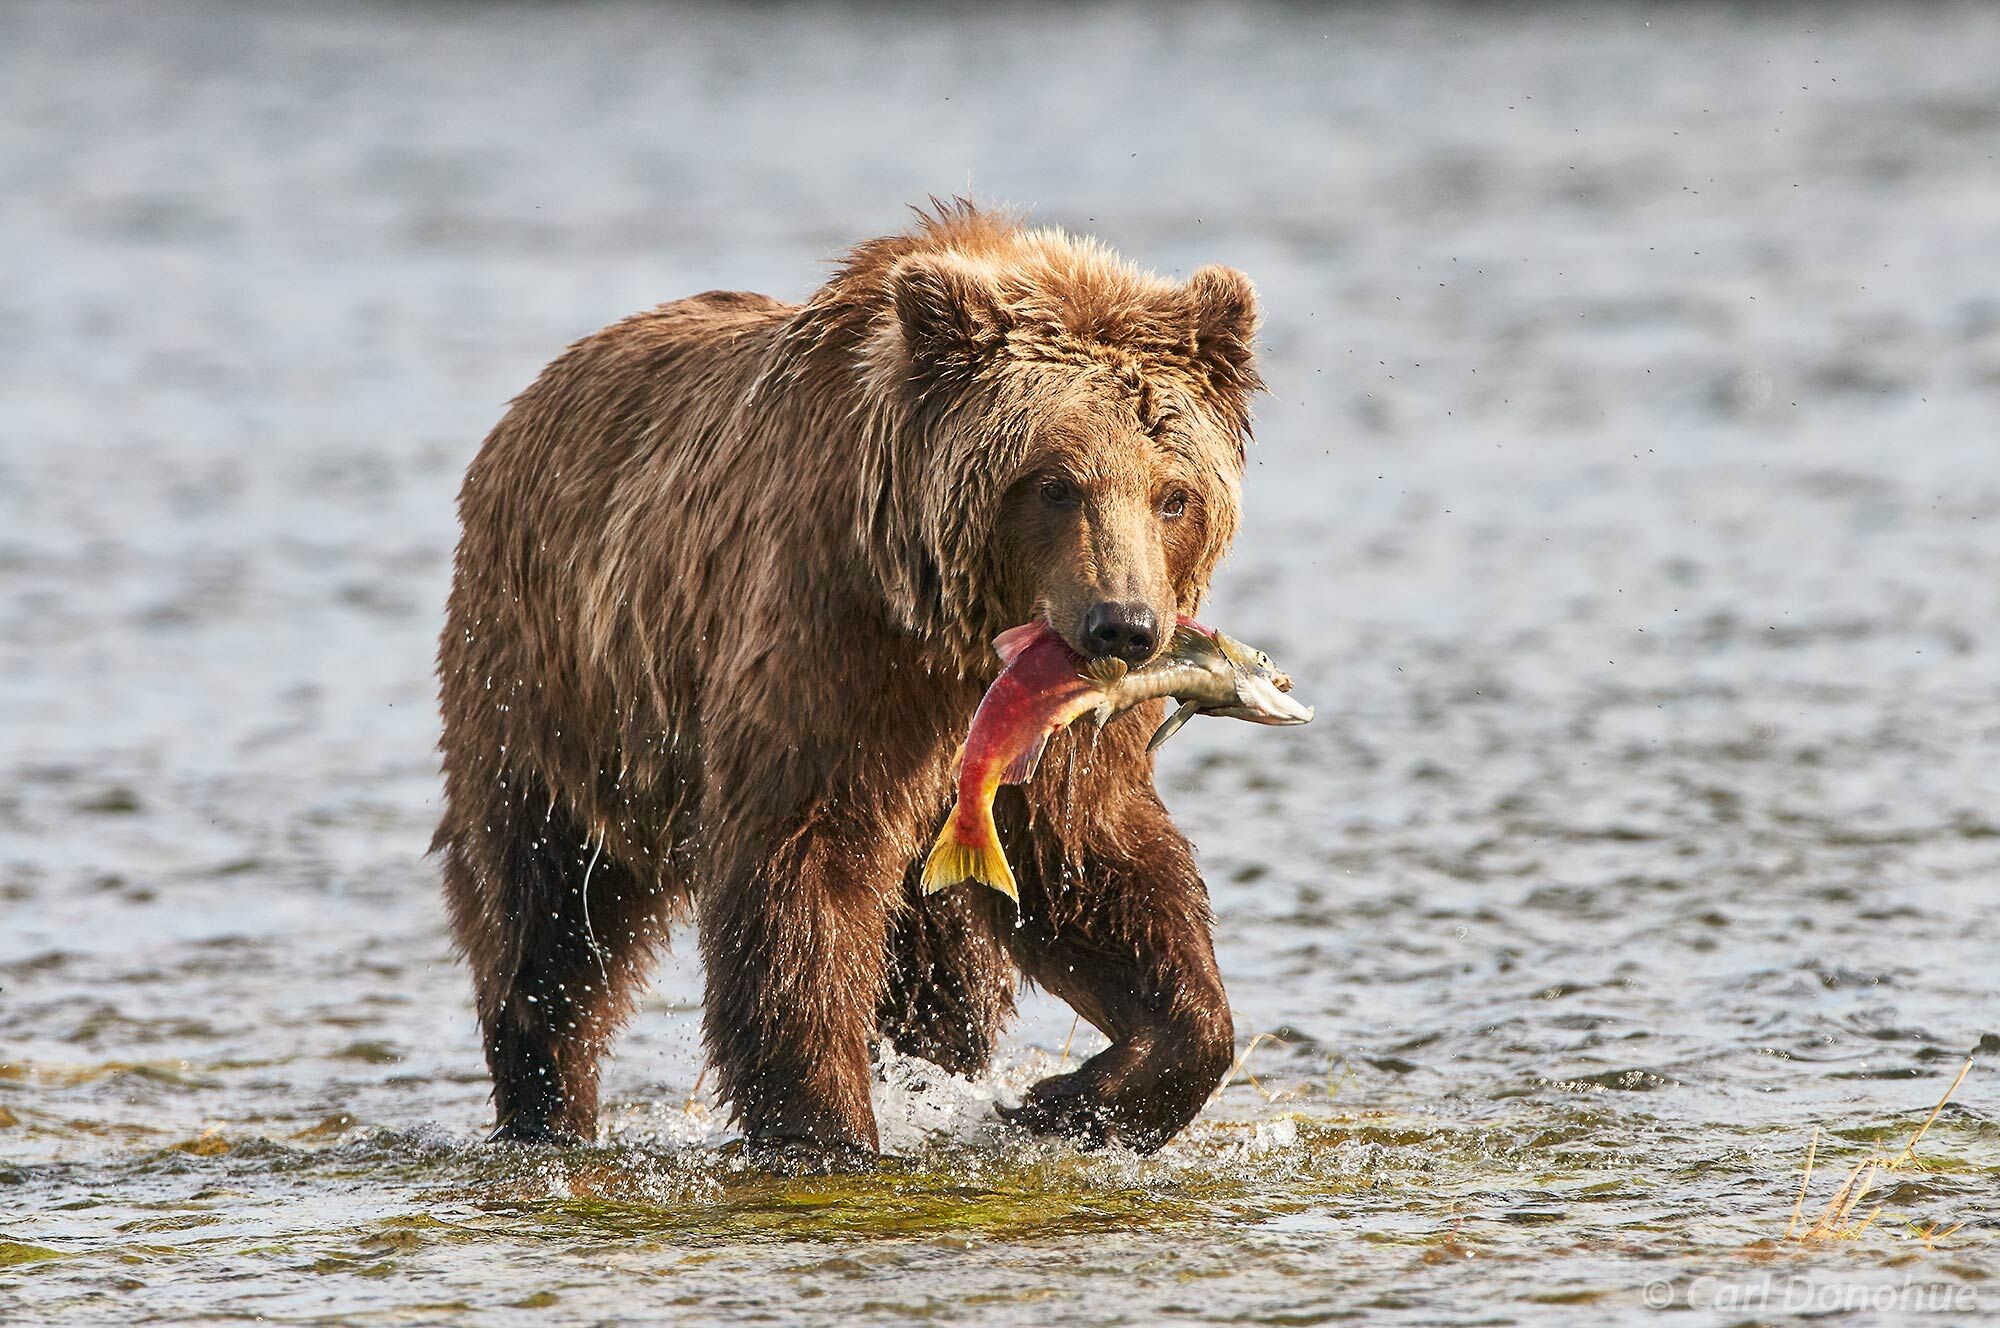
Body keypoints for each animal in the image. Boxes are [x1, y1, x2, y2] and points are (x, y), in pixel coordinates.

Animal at [438, 197, 1264, 1160]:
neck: (952, 635)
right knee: (546, 912)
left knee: (947, 978)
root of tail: (527, 403)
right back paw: (545, 1106)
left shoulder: (1049, 730)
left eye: (1173, 493)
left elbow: (1097, 868)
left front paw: (1069, 1100)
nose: (1123, 626)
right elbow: (801, 873)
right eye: (1054, 483)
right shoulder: (832, 648)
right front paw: (824, 1129)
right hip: (554, 686)